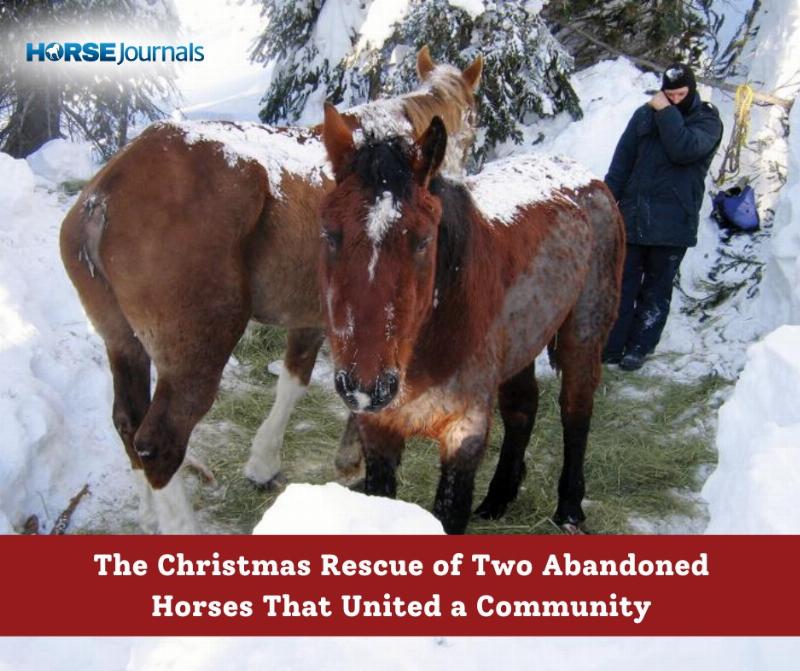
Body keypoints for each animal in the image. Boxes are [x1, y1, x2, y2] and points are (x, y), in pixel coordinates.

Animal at [59, 47, 483, 533]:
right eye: (473, 123)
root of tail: (105, 194)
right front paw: (349, 460)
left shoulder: (315, 319)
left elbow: (294, 382)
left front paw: (264, 463)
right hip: (195, 355)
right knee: (159, 441)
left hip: (122, 341)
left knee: (128, 422)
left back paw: (149, 514)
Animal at [319, 107, 625, 534]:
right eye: (330, 234)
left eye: (423, 241)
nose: (365, 387)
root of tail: (586, 177)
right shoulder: (378, 428)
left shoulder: (464, 433)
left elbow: (449, 513)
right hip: (522, 340)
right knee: (522, 408)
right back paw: (497, 498)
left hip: (583, 334)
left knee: (576, 410)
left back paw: (569, 510)